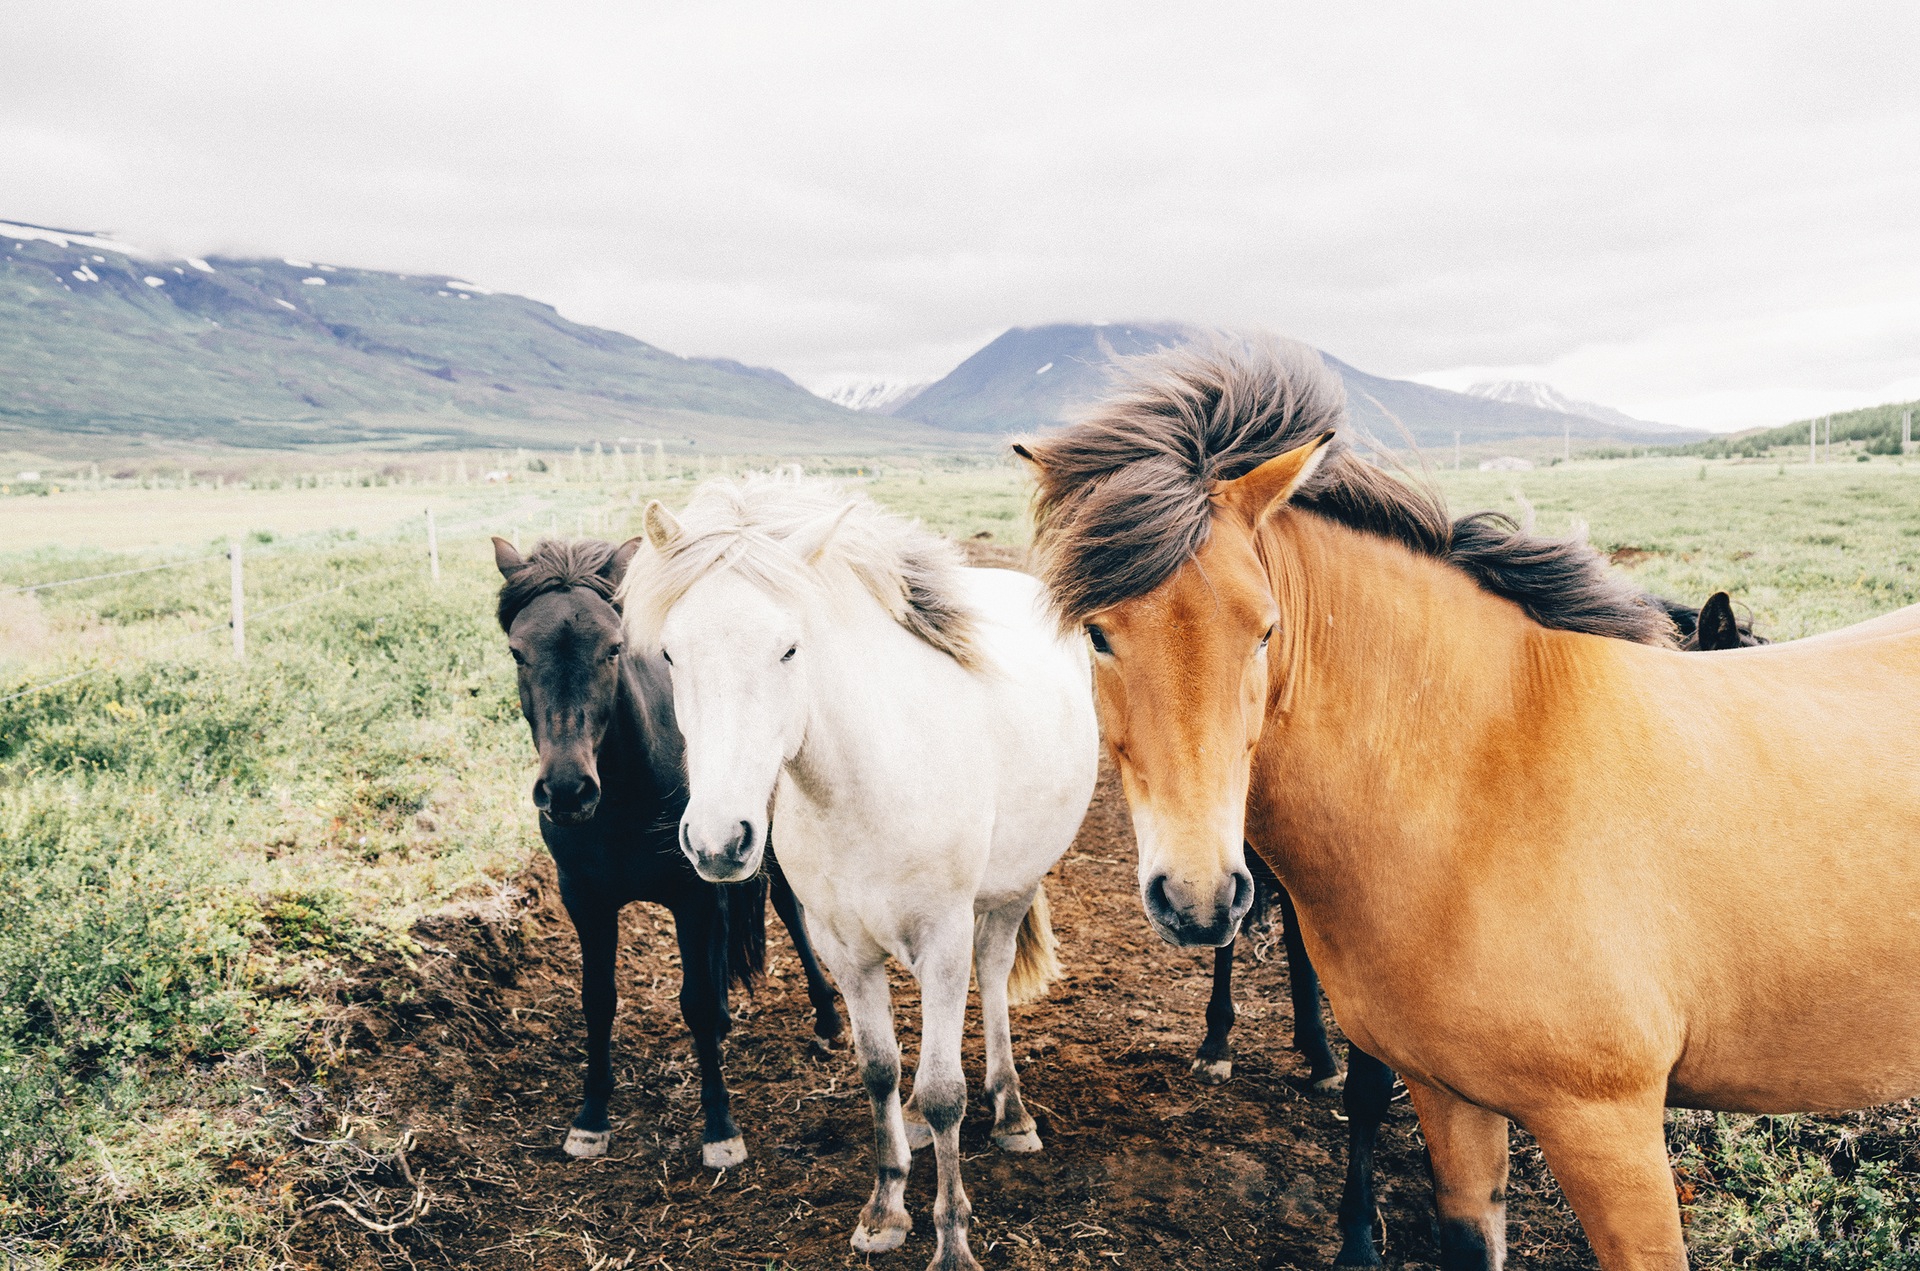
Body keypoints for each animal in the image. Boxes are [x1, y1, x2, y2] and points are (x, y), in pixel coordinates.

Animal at [492, 536, 844, 1169]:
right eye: (517, 652)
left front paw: (720, 1129)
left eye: (613, 648)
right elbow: (598, 1000)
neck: (624, 800)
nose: (567, 790)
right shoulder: (585, 900)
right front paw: (591, 1119)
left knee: (788, 909)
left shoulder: (691, 893)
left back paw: (827, 1019)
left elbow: (697, 1001)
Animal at [620, 475, 1099, 1271]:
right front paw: (884, 1207)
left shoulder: (943, 941)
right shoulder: (842, 949)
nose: (718, 841)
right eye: (671, 655)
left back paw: (1012, 1110)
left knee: (995, 975)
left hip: (1010, 892)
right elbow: (879, 1069)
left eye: (789, 649)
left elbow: (944, 1089)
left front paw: (952, 1240)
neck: (866, 781)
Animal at [1016, 336, 1920, 1271]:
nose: (1196, 893)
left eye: (1265, 629)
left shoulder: (1607, 1127)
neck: (1485, 787)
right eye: (1096, 633)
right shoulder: (1451, 1098)